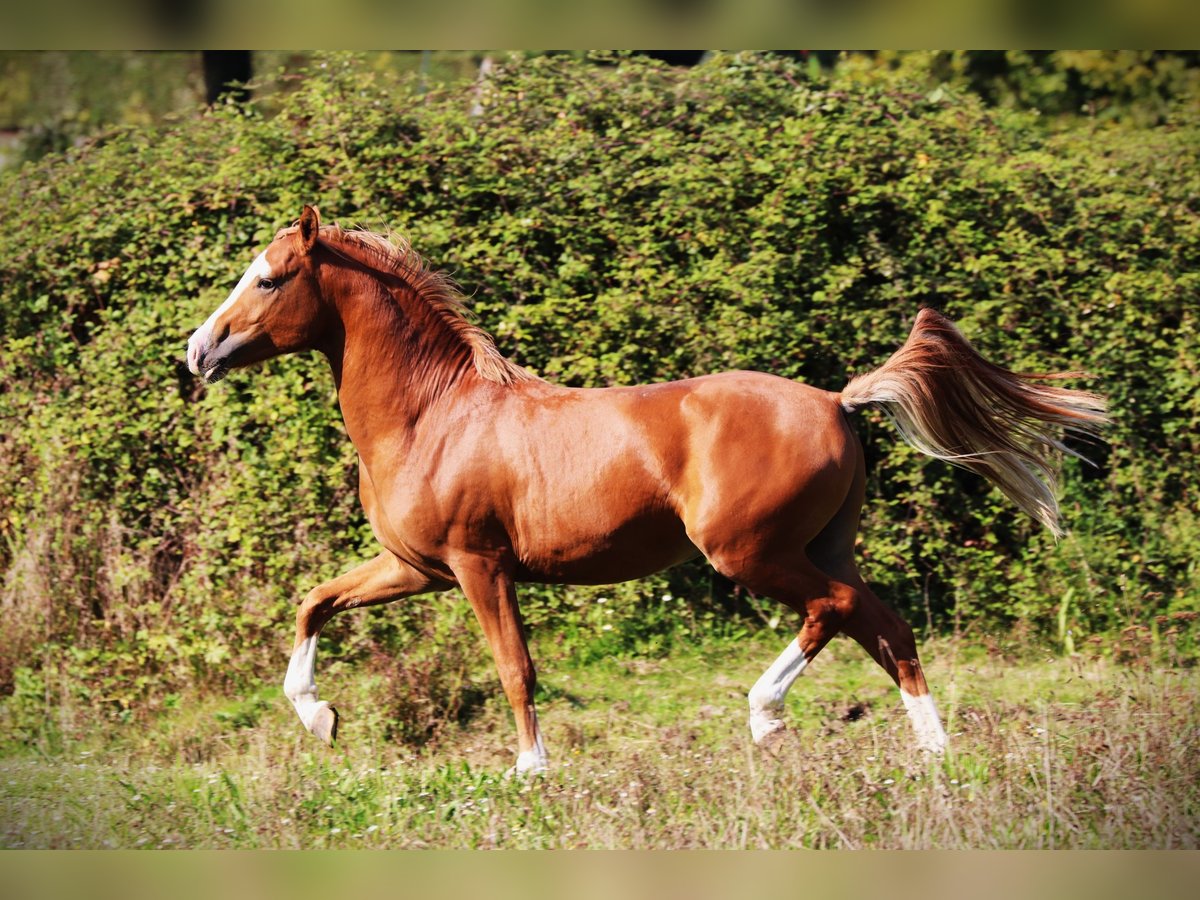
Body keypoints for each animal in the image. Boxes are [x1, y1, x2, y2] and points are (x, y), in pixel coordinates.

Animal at [184, 206, 1104, 777]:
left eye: (270, 278)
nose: (197, 351)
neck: (434, 416)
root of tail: (837, 401)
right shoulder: (416, 567)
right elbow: (314, 601)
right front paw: (320, 718)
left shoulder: (479, 567)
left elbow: (514, 666)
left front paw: (530, 770)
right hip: (820, 545)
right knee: (886, 627)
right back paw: (934, 752)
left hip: (750, 553)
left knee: (835, 610)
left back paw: (766, 715)